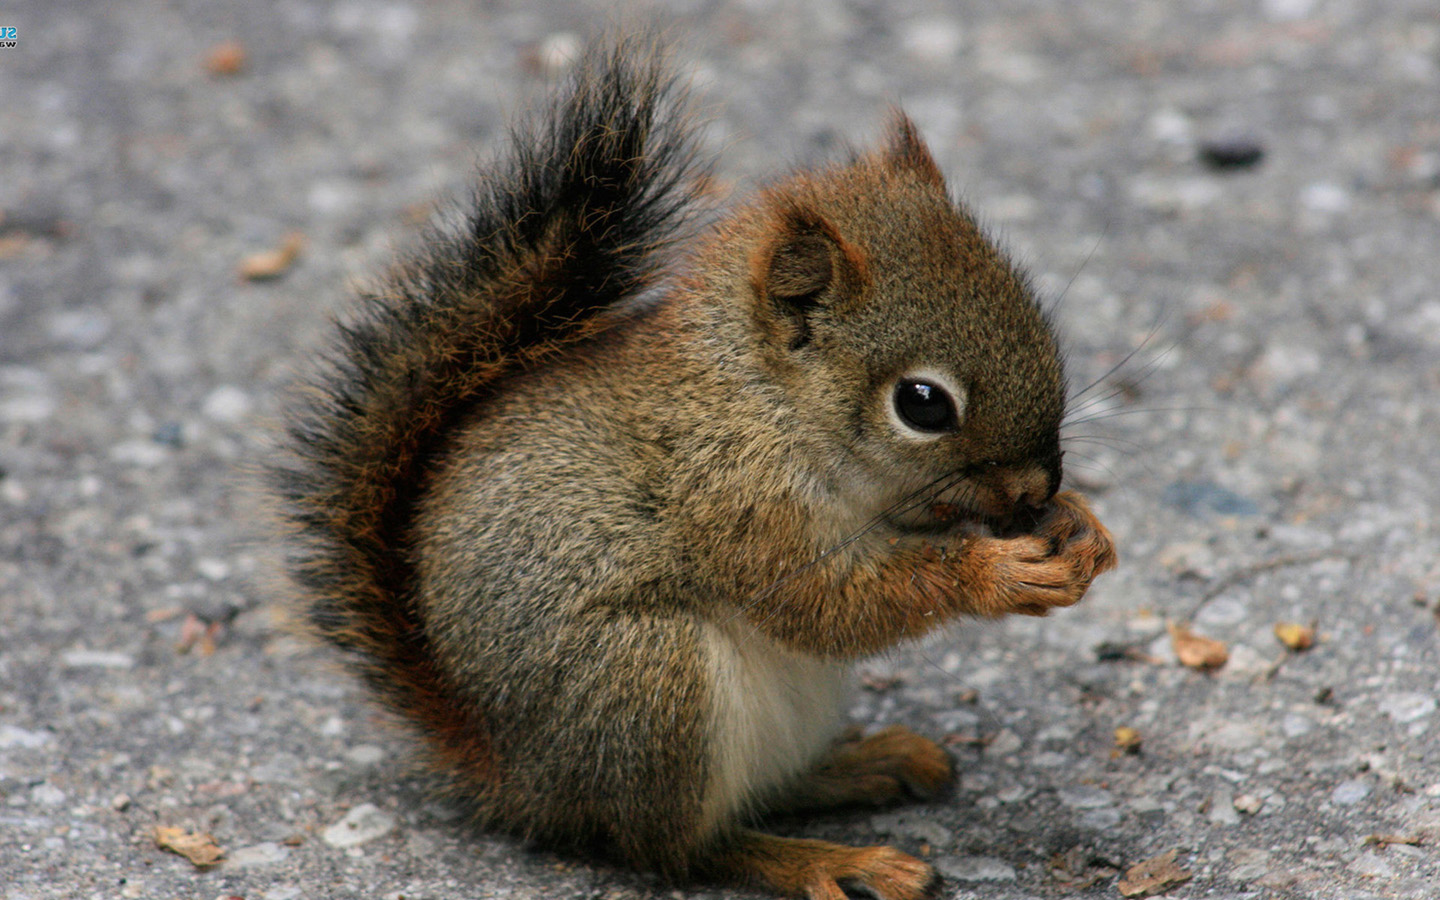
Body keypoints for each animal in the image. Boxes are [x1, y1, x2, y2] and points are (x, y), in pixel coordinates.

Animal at [275, 40, 1117, 900]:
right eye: (923, 404)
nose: (1037, 489)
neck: (764, 399)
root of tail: (520, 778)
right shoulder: (735, 499)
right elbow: (825, 605)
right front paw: (997, 573)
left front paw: (1083, 528)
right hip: (650, 683)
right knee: (679, 848)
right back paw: (823, 860)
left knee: (766, 791)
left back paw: (865, 764)